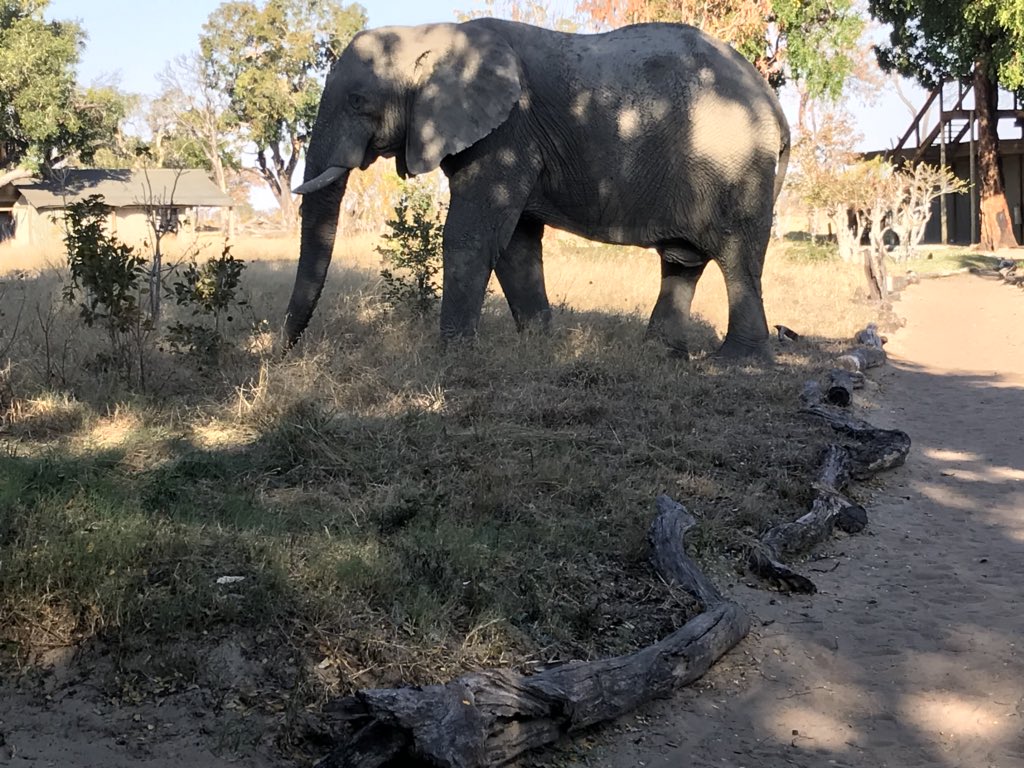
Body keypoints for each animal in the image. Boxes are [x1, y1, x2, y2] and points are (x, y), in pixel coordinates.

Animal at [288, 17, 790, 360]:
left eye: (358, 101)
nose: (286, 350)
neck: (430, 33)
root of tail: (774, 107)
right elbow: (516, 244)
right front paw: (540, 347)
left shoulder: (508, 131)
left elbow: (473, 234)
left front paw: (452, 357)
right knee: (681, 261)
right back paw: (660, 356)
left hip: (737, 165)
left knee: (736, 258)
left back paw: (735, 362)